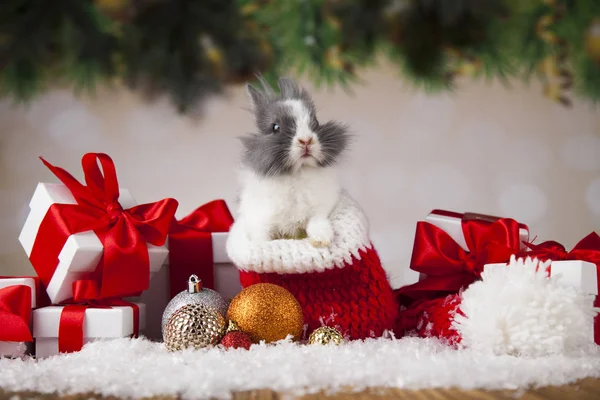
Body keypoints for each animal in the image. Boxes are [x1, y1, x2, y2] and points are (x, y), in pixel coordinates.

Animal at [234, 76, 346, 247]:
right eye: (275, 127)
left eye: (316, 122)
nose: (306, 140)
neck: (296, 173)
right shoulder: (260, 223)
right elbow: (262, 239)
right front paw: (262, 247)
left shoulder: (321, 209)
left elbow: (317, 222)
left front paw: (321, 240)